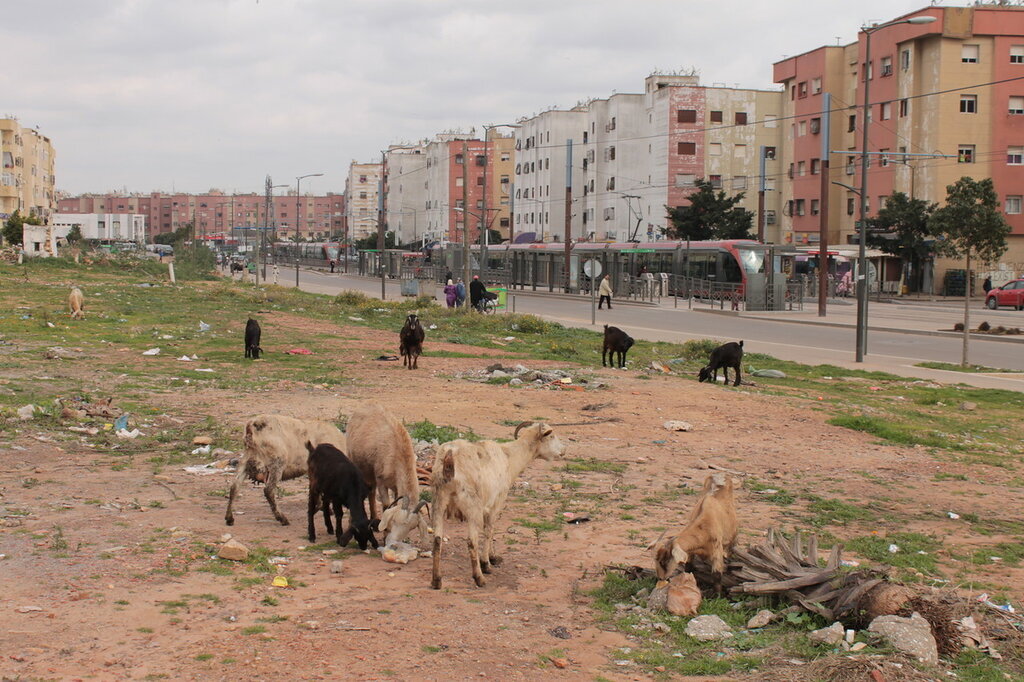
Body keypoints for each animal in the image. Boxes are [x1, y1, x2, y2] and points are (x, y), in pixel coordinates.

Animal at [342, 403, 425, 540]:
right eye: (396, 521)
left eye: (411, 528)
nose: (394, 540)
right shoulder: (382, 481)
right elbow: (386, 505)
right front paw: (386, 533)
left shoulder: (396, 486)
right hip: (354, 458)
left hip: (370, 471)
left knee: (371, 490)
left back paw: (374, 520)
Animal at [428, 417, 565, 585]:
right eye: (551, 436)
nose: (563, 451)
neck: (510, 457)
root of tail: (450, 454)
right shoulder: (497, 501)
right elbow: (489, 530)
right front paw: (486, 563)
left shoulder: (487, 506)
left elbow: (490, 529)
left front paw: (492, 557)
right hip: (471, 503)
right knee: (471, 541)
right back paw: (479, 578)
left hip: (439, 499)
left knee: (437, 540)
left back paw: (436, 580)